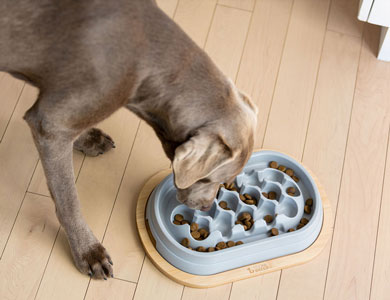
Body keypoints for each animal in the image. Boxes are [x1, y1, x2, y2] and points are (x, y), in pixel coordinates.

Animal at [0, 0, 258, 278]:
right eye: (210, 179)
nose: (206, 207)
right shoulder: (50, 125)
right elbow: (69, 200)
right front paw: (88, 252)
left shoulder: (54, 105)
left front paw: (87, 139)